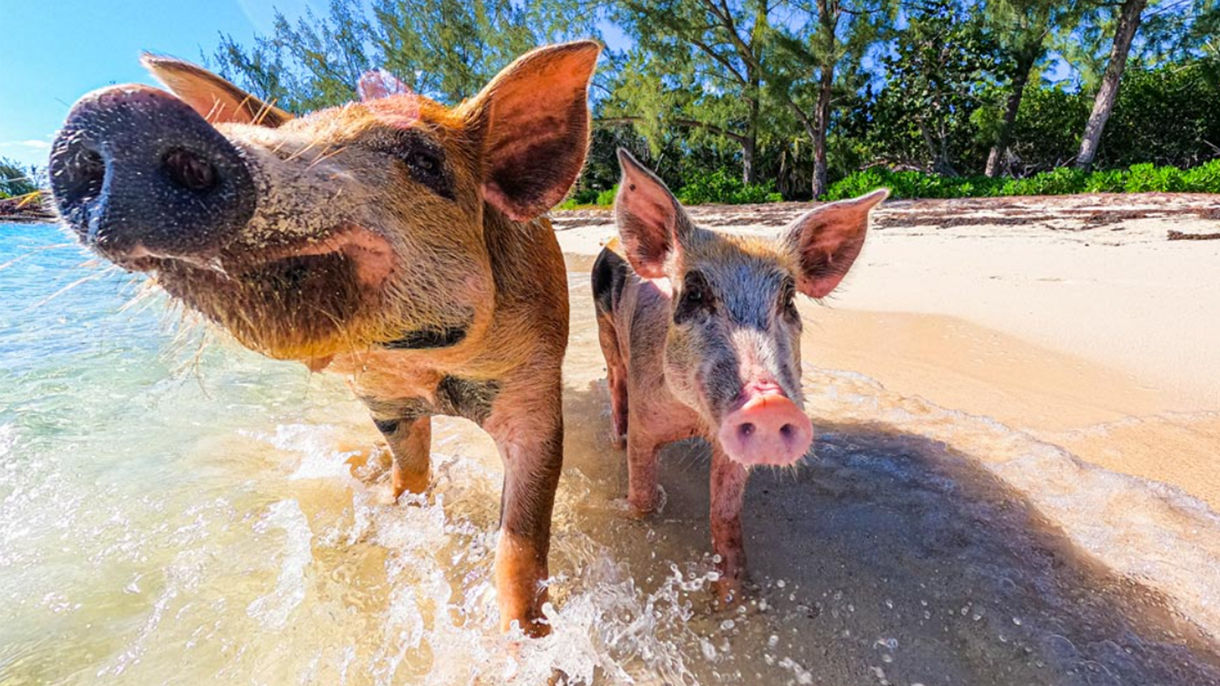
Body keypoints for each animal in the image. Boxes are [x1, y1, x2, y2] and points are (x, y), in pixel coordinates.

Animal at [47, 41, 602, 636]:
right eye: (299, 125)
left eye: (422, 158)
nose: (119, 110)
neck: (426, 364)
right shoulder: (383, 401)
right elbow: (409, 477)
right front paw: (383, 518)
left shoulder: (534, 385)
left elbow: (522, 540)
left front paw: (529, 643)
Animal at [592, 150, 887, 602]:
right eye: (694, 293)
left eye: (789, 298)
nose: (768, 401)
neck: (694, 421)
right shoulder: (646, 419)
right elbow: (641, 493)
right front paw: (634, 516)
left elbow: (725, 513)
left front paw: (732, 594)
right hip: (605, 332)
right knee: (614, 379)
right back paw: (615, 437)